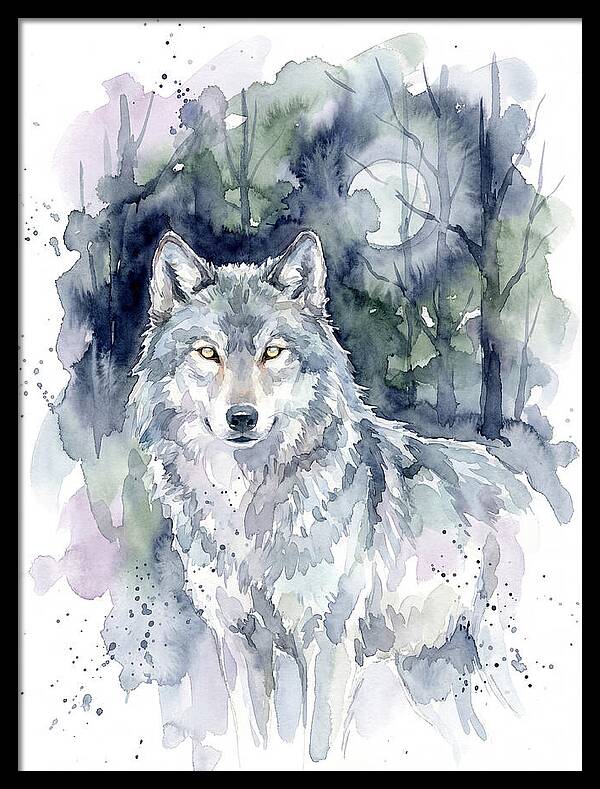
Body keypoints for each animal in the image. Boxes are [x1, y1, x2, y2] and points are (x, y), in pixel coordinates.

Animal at [129, 229, 532, 765]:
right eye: (208, 353)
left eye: (273, 352)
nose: (242, 417)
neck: (249, 510)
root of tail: (525, 483)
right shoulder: (240, 644)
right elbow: (256, 744)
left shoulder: (328, 643)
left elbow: (317, 747)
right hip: (432, 681)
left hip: (503, 661)